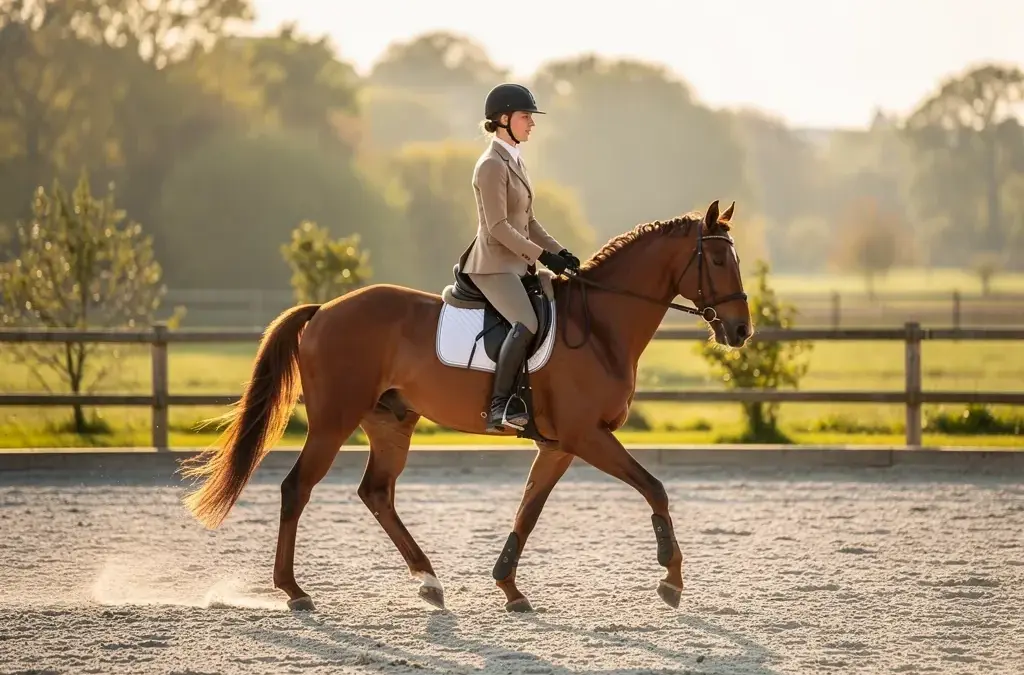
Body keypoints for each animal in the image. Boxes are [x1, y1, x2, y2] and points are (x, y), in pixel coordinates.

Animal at [177, 199, 752, 613]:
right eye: (718, 259)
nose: (741, 330)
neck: (601, 327)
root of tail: (323, 311)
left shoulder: (561, 445)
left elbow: (529, 509)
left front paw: (510, 589)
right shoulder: (587, 436)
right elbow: (654, 488)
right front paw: (671, 579)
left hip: (391, 422)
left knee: (376, 493)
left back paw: (429, 582)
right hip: (333, 421)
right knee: (297, 488)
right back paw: (294, 592)